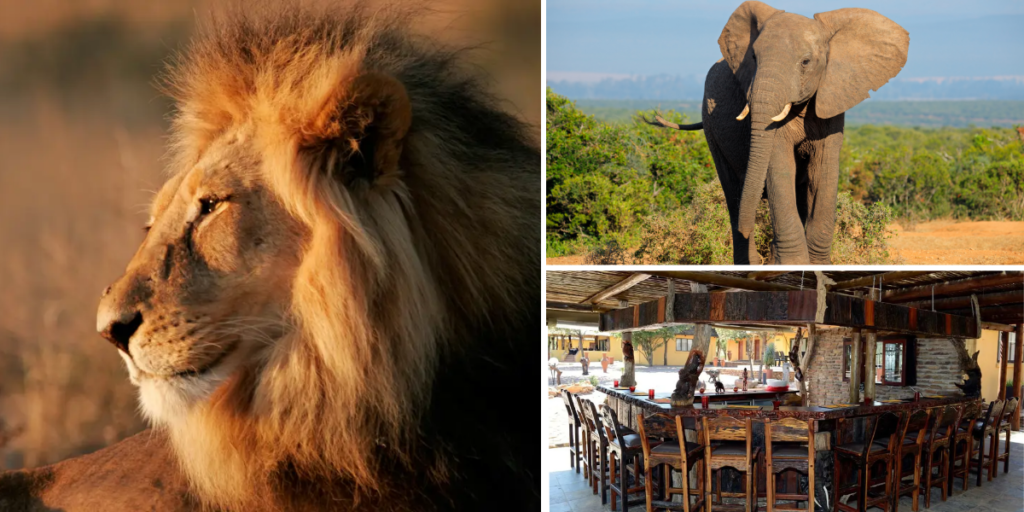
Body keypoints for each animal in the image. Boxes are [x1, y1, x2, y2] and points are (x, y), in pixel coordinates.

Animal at [646, 1, 908, 264]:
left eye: (805, 62)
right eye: (753, 57)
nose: (747, 228)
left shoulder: (832, 98)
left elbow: (822, 172)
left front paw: (817, 265)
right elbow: (780, 168)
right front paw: (794, 264)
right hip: (711, 126)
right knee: (733, 192)